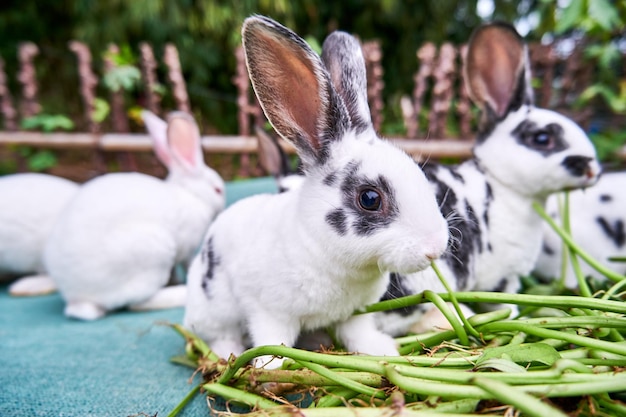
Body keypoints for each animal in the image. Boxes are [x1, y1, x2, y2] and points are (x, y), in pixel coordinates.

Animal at [44, 109, 225, 318]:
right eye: (217, 190)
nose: (222, 203)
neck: (191, 194)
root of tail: (78, 297)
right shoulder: (187, 249)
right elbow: (187, 265)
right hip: (152, 254)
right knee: (136, 304)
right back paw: (178, 293)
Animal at [182, 14, 448, 366]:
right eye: (370, 198)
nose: (436, 247)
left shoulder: (355, 313)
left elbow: (357, 333)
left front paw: (380, 351)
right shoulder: (269, 312)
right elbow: (272, 339)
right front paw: (270, 366)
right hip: (215, 310)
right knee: (218, 333)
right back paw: (229, 352)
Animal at [376, 22, 600, 334]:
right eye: (542, 138)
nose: (592, 169)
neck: (502, 187)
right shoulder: (502, 278)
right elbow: (503, 301)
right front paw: (514, 315)